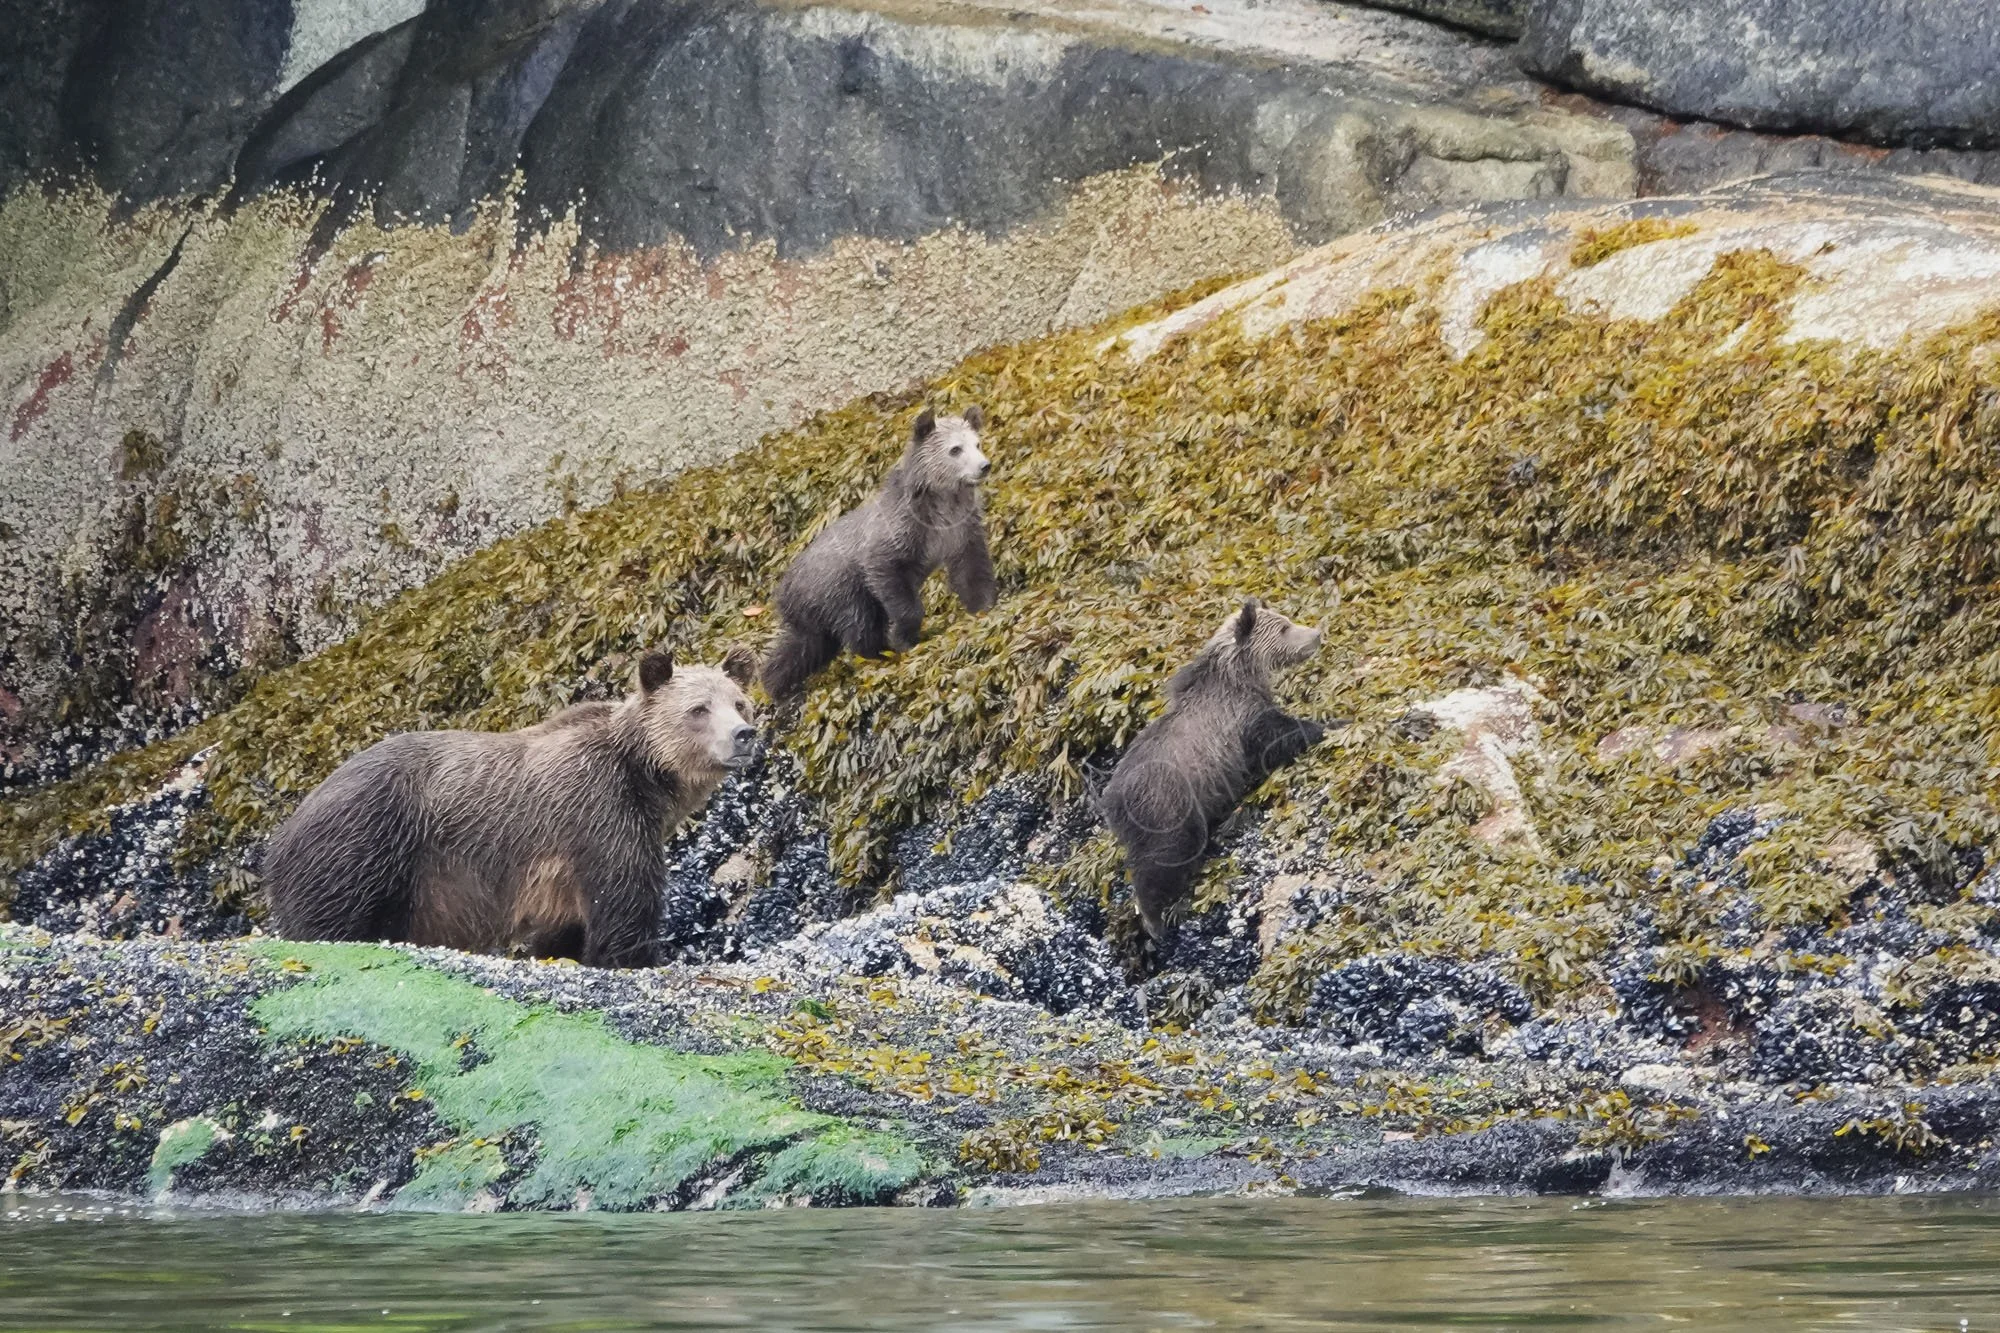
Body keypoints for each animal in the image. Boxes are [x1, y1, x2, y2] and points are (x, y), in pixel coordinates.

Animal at [262, 645, 759, 968]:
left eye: (739, 702)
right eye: (698, 709)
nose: (744, 735)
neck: (645, 775)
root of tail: (282, 831)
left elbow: (565, 925)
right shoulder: (599, 810)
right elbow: (622, 901)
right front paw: (636, 956)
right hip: (362, 845)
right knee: (328, 917)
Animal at [760, 406, 996, 700]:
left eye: (977, 443)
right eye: (955, 449)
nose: (984, 466)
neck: (939, 507)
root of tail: (783, 590)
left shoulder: (959, 531)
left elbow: (971, 569)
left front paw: (984, 607)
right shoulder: (895, 539)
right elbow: (891, 579)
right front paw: (905, 637)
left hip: (815, 610)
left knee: (805, 645)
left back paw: (774, 683)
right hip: (839, 589)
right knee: (858, 625)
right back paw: (877, 654)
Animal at [1097, 599, 1328, 943]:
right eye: (1285, 627)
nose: (1316, 634)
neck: (1239, 675)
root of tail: (1110, 800)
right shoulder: (1241, 719)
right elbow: (1276, 737)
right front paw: (1331, 724)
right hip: (1167, 806)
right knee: (1164, 859)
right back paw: (1156, 922)